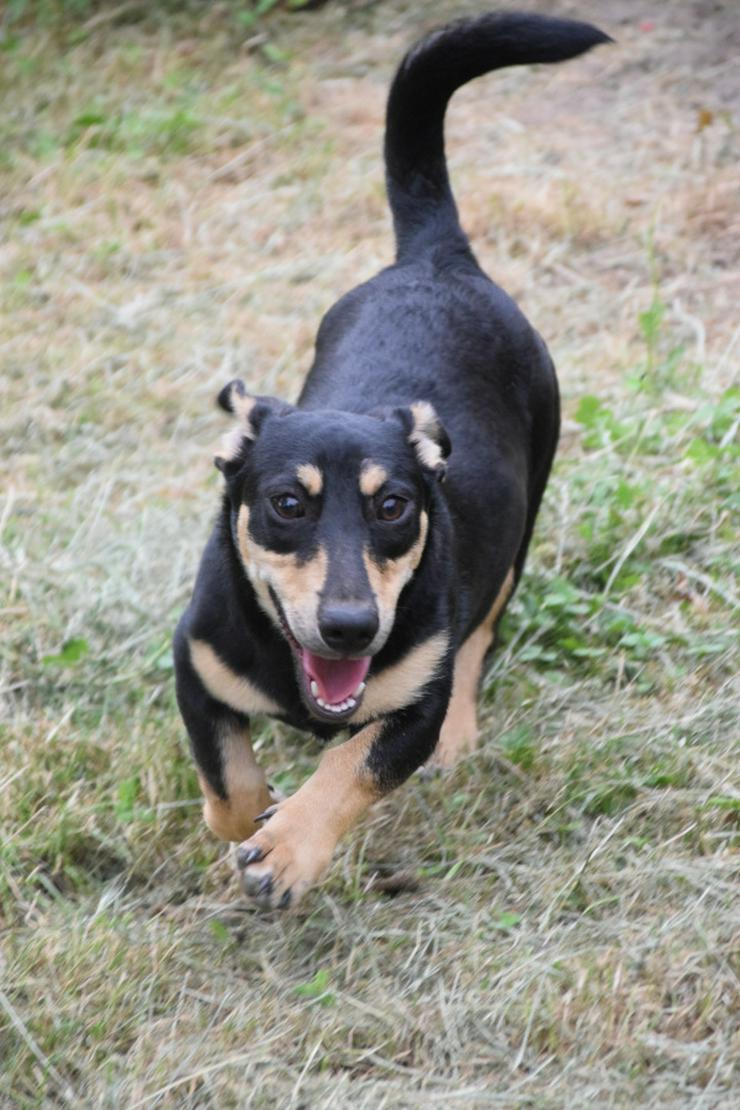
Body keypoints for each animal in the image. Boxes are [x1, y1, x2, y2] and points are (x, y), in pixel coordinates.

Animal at [175, 10, 612, 910]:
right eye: (288, 504)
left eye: (393, 507)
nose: (351, 627)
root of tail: (437, 257)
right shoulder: (194, 666)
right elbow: (227, 782)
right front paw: (257, 819)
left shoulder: (413, 701)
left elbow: (355, 763)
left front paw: (289, 847)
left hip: (519, 528)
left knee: (482, 629)